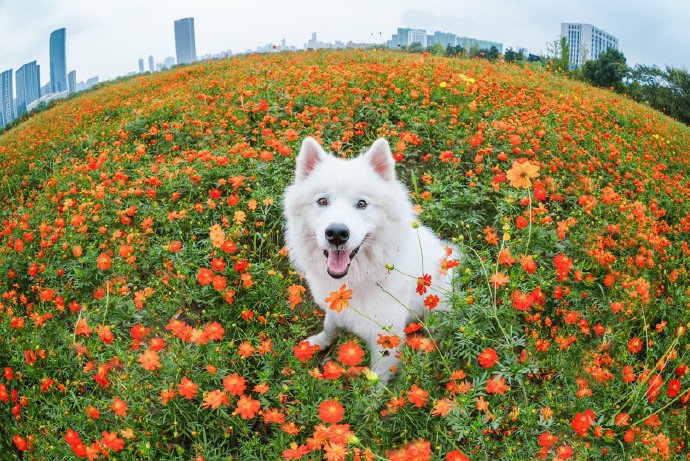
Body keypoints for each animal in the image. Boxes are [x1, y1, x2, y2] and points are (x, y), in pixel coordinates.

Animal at [282, 138, 454, 382]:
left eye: (362, 204)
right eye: (322, 201)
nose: (336, 233)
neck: (357, 278)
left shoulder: (386, 335)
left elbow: (378, 378)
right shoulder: (335, 309)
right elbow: (330, 326)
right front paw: (318, 343)